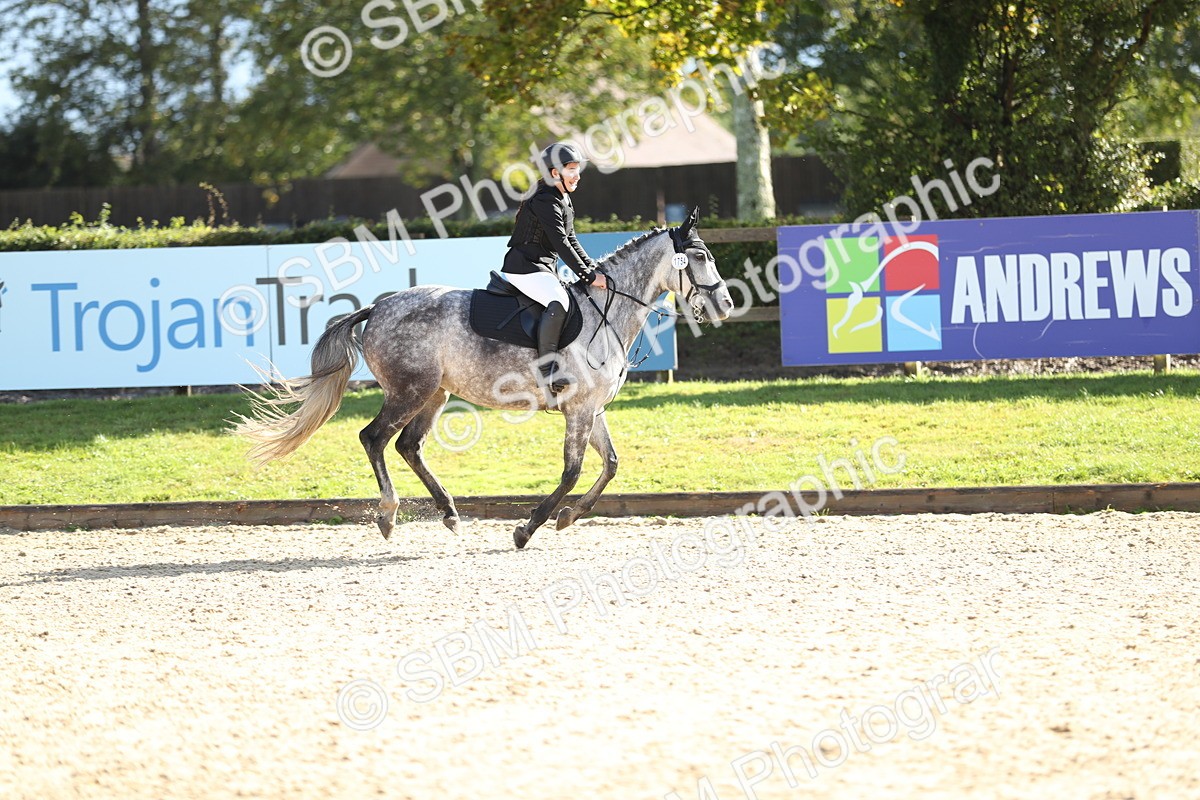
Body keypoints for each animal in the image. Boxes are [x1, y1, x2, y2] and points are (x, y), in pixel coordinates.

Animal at [232, 206, 733, 549]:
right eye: (701, 255)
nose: (726, 305)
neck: (604, 314)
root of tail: (378, 306)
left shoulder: (591, 408)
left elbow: (610, 464)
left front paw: (570, 517)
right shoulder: (578, 409)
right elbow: (572, 471)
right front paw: (528, 528)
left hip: (434, 394)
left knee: (408, 446)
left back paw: (450, 513)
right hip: (410, 390)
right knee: (374, 438)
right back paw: (389, 515)